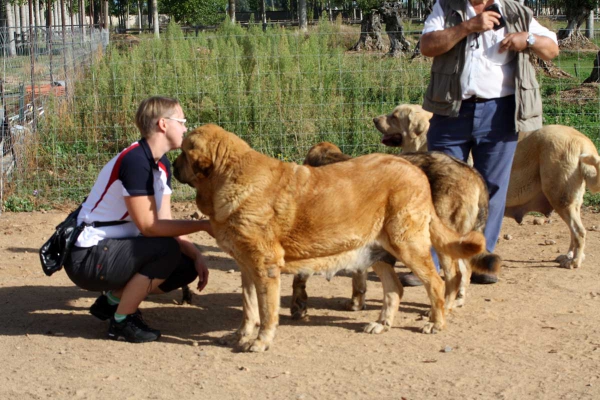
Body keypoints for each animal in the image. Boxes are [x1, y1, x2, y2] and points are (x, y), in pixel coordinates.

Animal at [171, 123, 486, 352]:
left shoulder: (265, 268)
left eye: (184, 152)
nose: (172, 165)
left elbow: (267, 311)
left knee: (437, 282)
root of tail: (415, 170)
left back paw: (436, 322)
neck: (228, 175)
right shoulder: (246, 268)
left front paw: (260, 341)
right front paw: (239, 336)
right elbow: (249, 309)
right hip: (378, 250)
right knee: (395, 289)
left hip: (408, 245)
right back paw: (382, 324)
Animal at [372, 105, 600, 268]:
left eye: (394, 116)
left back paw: (574, 262)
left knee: (579, 231)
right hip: (569, 199)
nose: (374, 119)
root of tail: (585, 142)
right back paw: (568, 256)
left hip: (559, 195)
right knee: (574, 231)